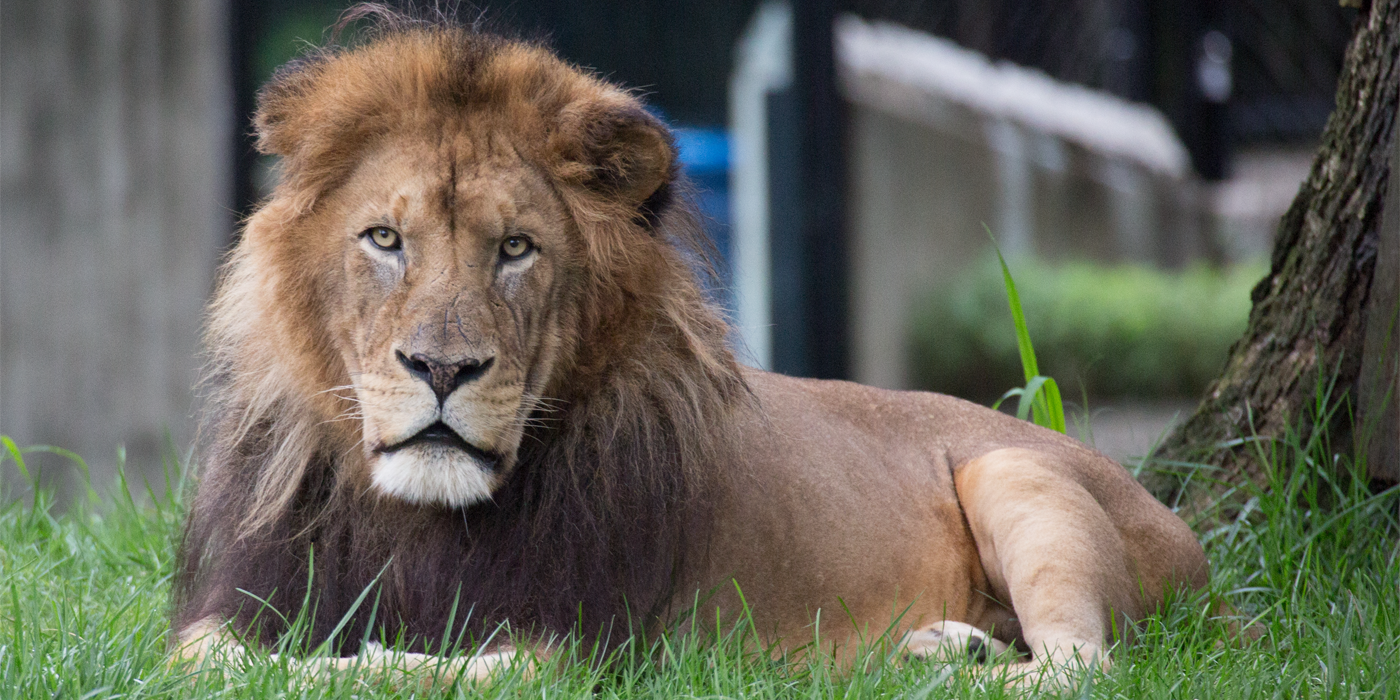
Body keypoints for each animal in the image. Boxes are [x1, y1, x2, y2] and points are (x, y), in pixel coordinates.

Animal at [172, 8, 1204, 691]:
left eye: (516, 249)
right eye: (385, 239)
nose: (442, 370)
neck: (417, 518)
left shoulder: (587, 642)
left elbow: (449, 669)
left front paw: (367, 658)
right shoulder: (240, 602)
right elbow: (209, 660)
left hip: (1014, 470)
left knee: (1086, 665)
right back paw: (938, 649)